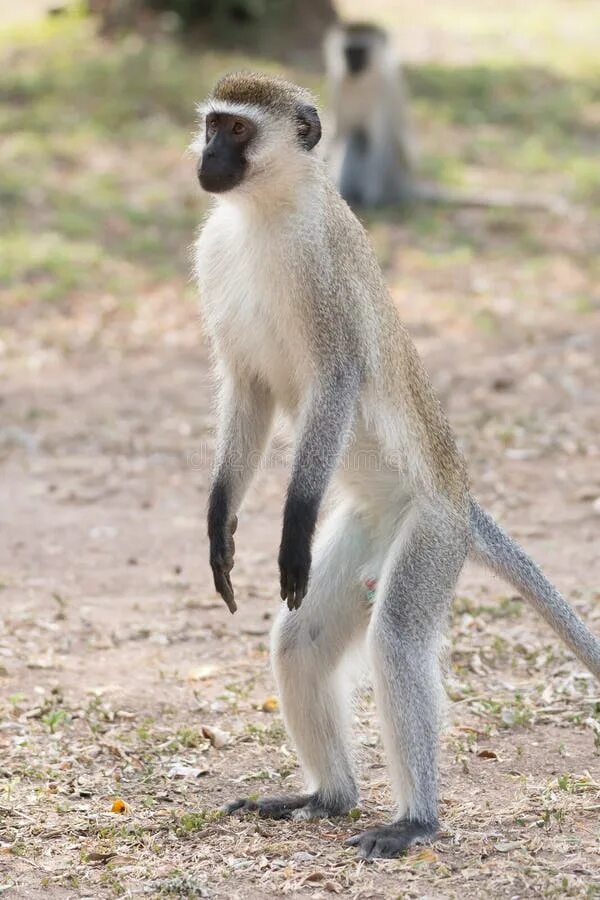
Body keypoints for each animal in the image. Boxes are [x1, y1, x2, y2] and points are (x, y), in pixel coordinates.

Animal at [193, 72, 600, 856]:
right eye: (212, 125)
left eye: (237, 131)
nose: (205, 159)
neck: (265, 213)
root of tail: (459, 496)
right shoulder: (216, 255)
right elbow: (249, 388)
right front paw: (220, 524)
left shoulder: (323, 273)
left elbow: (338, 379)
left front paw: (290, 523)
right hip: (365, 526)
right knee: (302, 639)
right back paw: (328, 797)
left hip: (432, 534)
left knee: (398, 642)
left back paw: (416, 820)